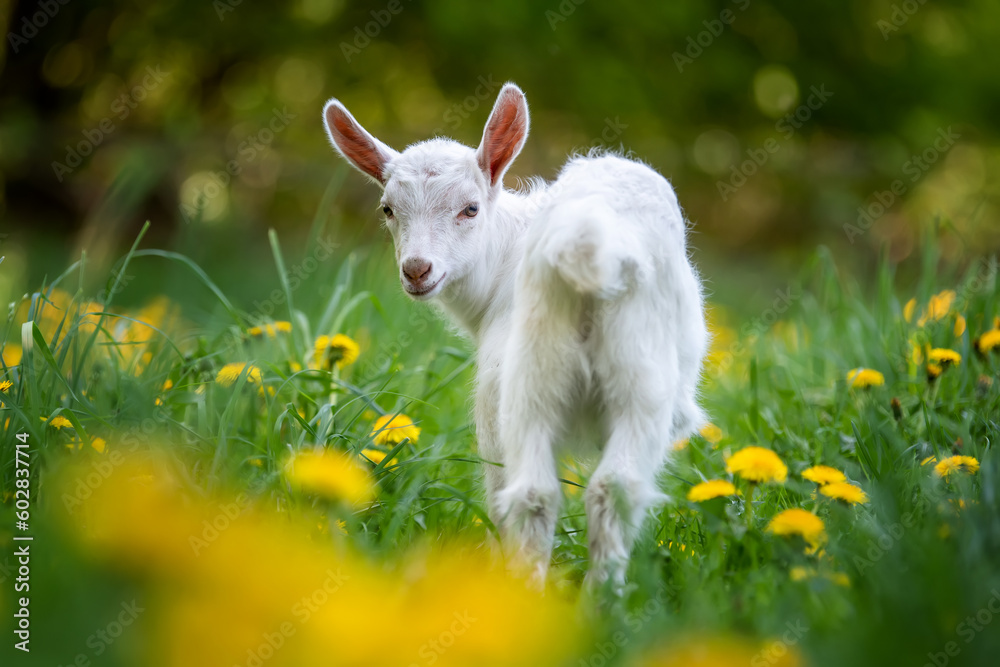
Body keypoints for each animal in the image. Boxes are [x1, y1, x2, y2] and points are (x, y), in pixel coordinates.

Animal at [322, 83, 708, 589]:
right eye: (388, 209)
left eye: (470, 208)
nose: (417, 270)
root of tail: (590, 245)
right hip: (626, 375)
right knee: (599, 489)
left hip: (520, 383)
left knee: (526, 491)